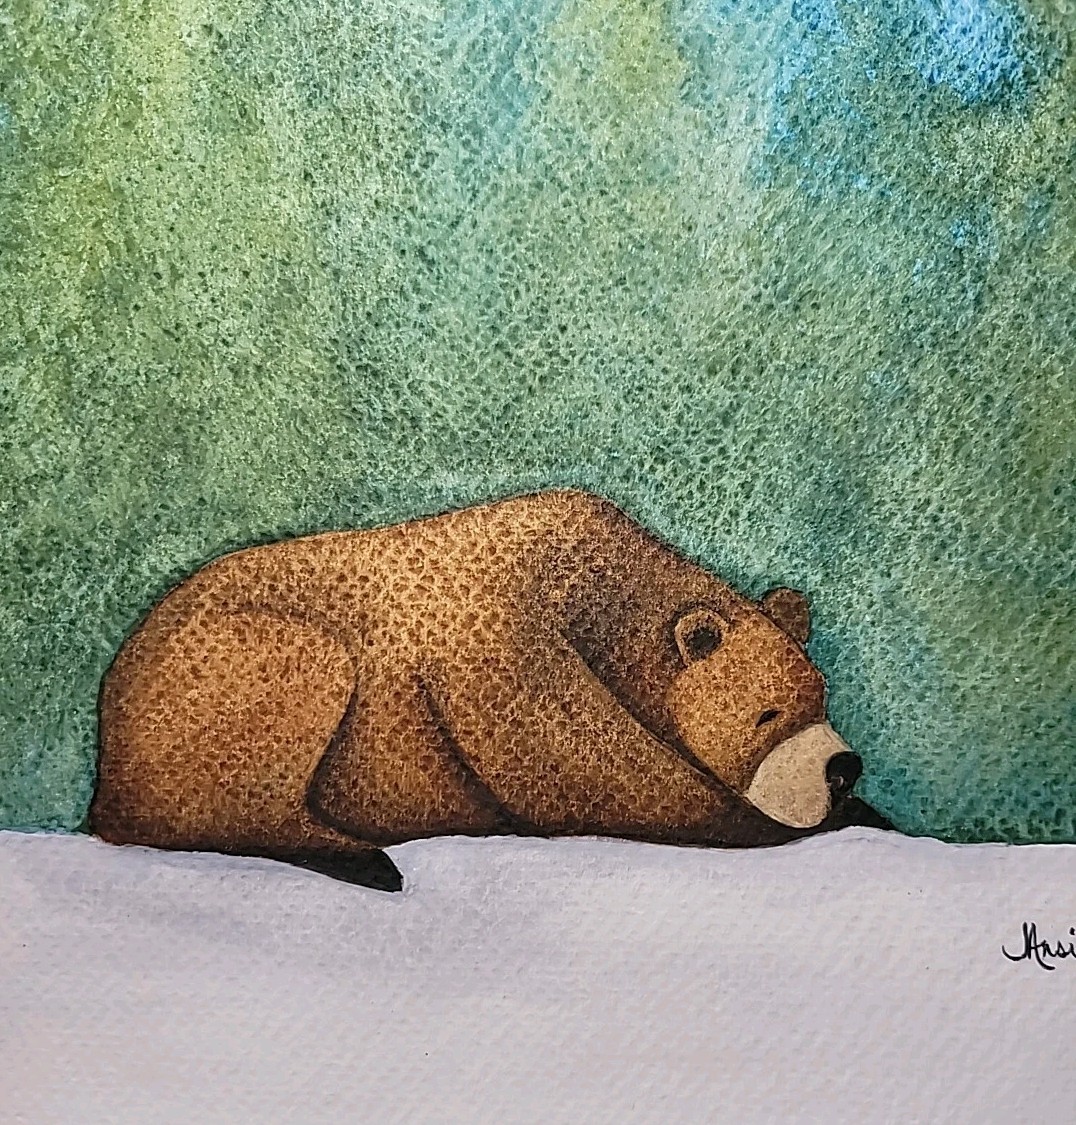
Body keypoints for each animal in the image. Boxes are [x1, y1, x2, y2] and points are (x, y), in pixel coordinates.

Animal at [89, 489, 889, 891]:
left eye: (821, 695)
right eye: (766, 713)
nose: (842, 768)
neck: (599, 585)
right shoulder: (499, 644)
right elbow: (598, 776)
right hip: (216, 670)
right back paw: (362, 857)